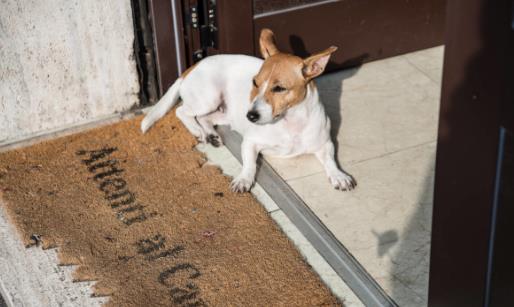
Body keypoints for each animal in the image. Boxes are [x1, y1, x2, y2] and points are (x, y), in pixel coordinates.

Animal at [142, 28, 354, 192]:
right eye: (255, 82)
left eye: (279, 88)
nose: (250, 116)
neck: (288, 122)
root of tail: (191, 67)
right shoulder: (250, 143)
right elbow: (249, 164)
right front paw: (244, 179)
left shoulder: (325, 144)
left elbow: (331, 160)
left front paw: (339, 175)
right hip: (208, 98)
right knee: (182, 111)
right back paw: (197, 131)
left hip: (225, 113)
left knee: (205, 119)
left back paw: (211, 135)